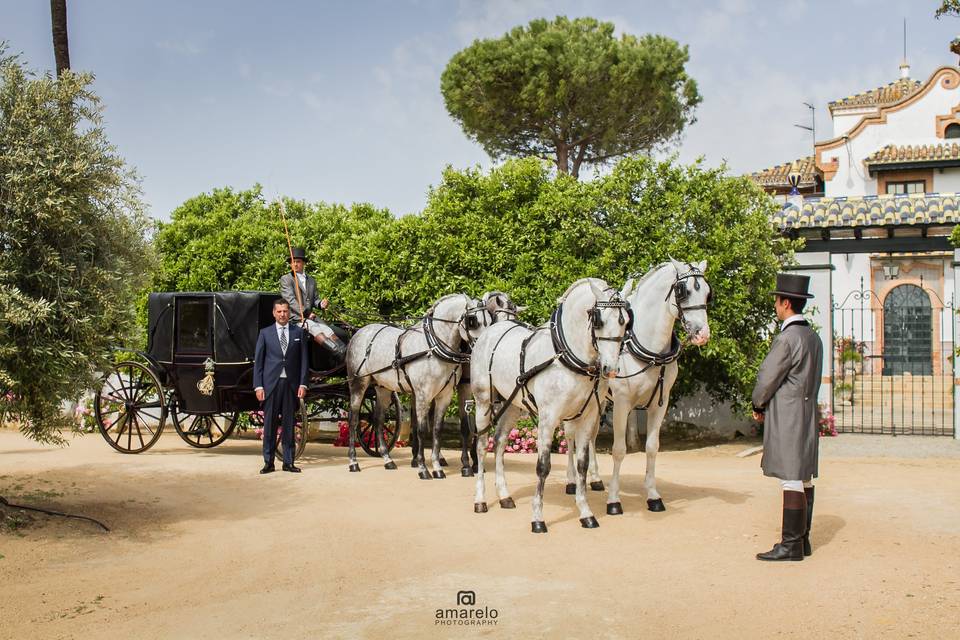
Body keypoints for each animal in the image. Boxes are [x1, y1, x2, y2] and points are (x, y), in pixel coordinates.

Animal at [344, 292, 492, 478]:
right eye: (473, 321)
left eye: (490, 319)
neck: (433, 348)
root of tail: (360, 332)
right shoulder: (422, 395)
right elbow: (421, 429)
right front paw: (423, 468)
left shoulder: (444, 395)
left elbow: (437, 430)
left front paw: (437, 467)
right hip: (358, 384)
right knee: (353, 419)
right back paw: (353, 462)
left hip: (383, 388)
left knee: (378, 420)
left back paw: (387, 459)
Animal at [470, 278, 632, 532]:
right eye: (599, 320)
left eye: (625, 321)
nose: (611, 369)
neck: (567, 356)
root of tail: (494, 329)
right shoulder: (548, 418)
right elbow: (543, 466)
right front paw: (538, 518)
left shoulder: (587, 417)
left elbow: (582, 465)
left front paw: (586, 513)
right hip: (483, 401)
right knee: (481, 445)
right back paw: (481, 500)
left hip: (513, 405)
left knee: (500, 443)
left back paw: (504, 495)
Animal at [564, 260, 712, 516]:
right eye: (683, 291)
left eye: (707, 292)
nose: (702, 334)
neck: (649, 350)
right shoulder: (623, 404)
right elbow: (619, 450)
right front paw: (614, 501)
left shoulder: (660, 404)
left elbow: (652, 447)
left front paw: (653, 496)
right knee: (571, 436)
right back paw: (573, 482)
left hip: (599, 402)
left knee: (591, 436)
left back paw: (595, 479)